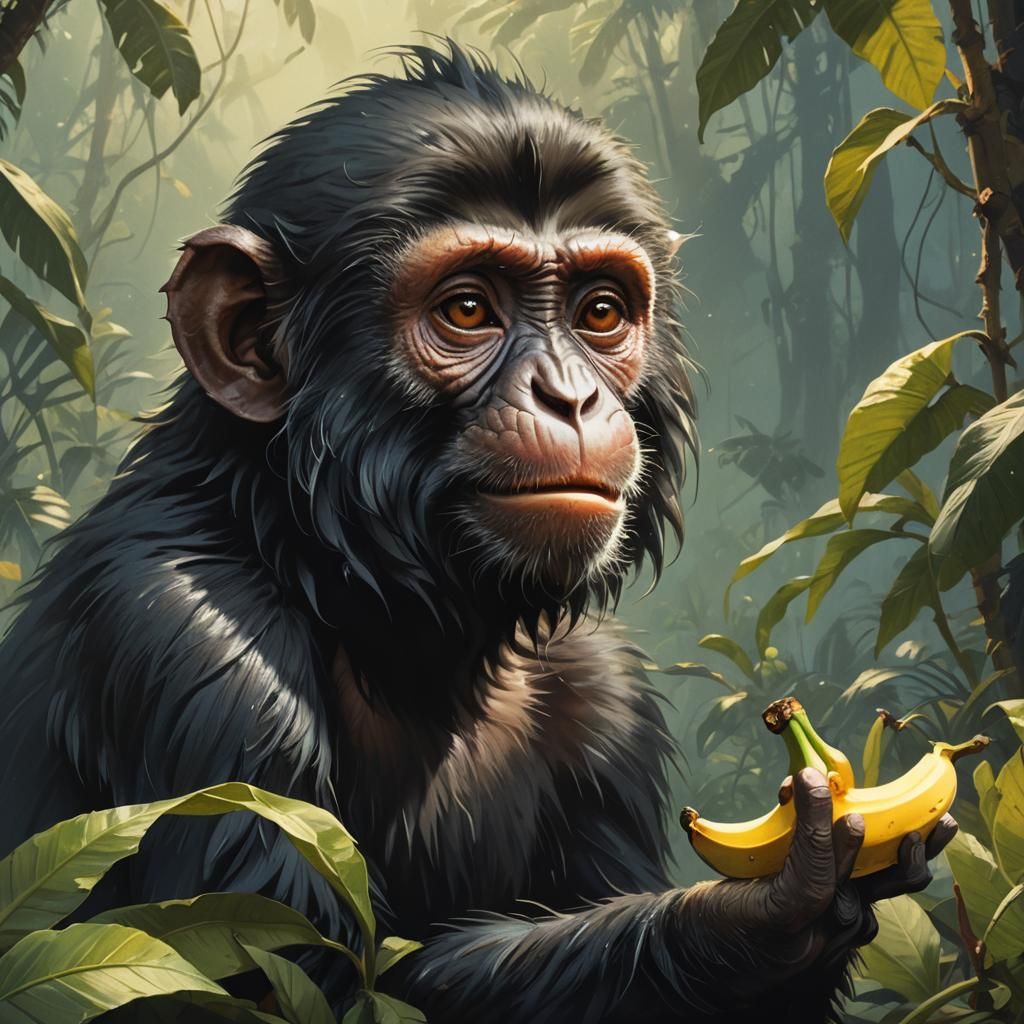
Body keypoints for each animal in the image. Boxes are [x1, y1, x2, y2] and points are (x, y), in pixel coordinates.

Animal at [0, 43, 955, 1022]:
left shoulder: (607, 700)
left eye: (600, 312)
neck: (358, 592)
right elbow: (304, 978)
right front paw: (759, 912)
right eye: (466, 309)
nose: (569, 396)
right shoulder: (183, 646)